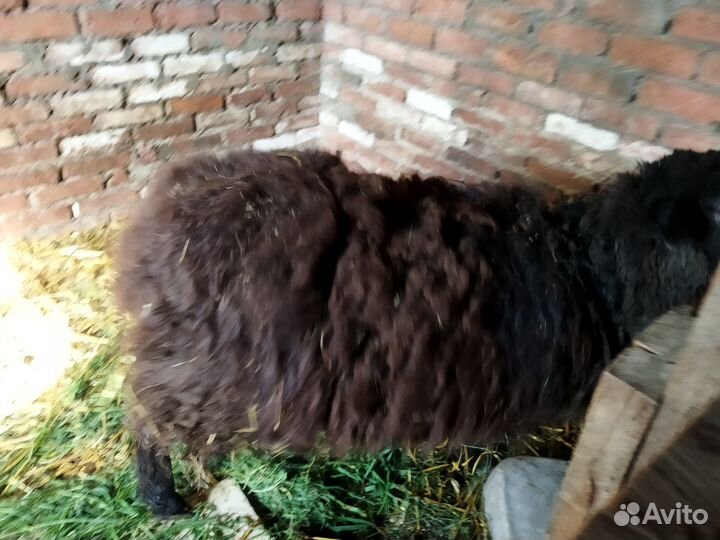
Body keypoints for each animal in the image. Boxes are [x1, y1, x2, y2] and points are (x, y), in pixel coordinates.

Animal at [115, 148, 720, 516]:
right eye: (716, 213)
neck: (588, 268)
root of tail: (162, 212)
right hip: (199, 373)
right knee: (145, 416)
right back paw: (161, 498)